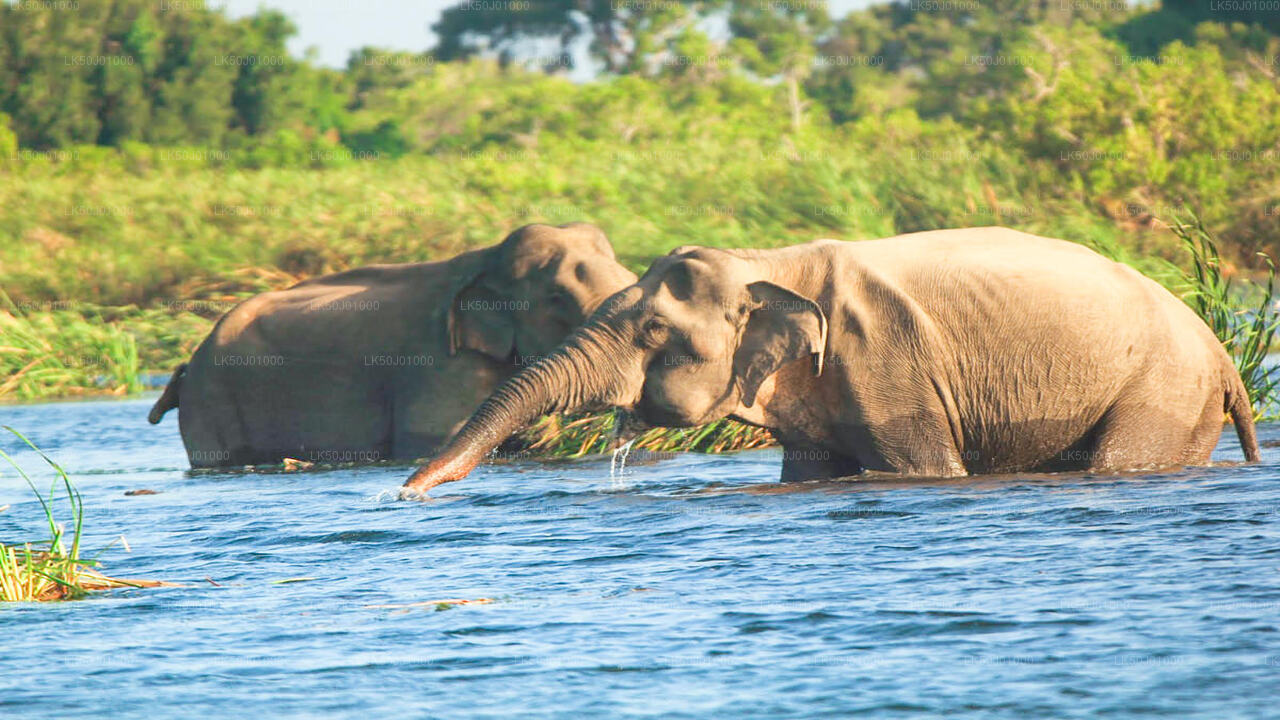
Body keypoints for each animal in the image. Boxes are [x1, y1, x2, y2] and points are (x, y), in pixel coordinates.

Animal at [149, 221, 640, 466]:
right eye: (556, 297)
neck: (485, 259)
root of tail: (188, 364)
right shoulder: (440, 367)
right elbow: (435, 440)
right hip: (213, 403)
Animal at [407, 225, 1259, 491]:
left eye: (652, 333)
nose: (405, 494)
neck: (767, 262)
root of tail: (1225, 358)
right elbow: (811, 470)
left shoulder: (889, 362)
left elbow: (924, 469)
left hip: (1163, 391)